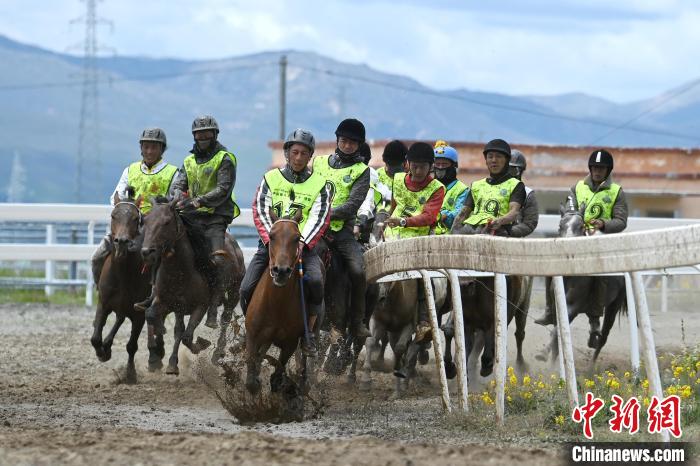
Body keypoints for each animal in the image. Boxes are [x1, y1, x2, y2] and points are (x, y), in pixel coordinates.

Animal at [90, 189, 153, 383]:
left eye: (135, 218)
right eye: (113, 215)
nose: (122, 242)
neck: (123, 274)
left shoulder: (139, 314)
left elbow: (132, 345)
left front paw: (130, 374)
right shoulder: (103, 303)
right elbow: (95, 337)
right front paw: (102, 353)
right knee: (117, 319)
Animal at [140, 198, 243, 375]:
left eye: (167, 222)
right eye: (145, 221)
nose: (147, 251)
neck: (180, 271)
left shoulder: (200, 306)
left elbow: (187, 337)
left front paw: (200, 345)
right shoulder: (168, 303)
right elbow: (152, 315)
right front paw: (169, 361)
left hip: (234, 292)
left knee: (225, 318)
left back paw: (217, 352)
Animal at [245, 209, 315, 398]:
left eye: (297, 238)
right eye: (271, 235)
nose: (281, 271)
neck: (276, 305)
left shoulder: (290, 343)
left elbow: (277, 376)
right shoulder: (253, 336)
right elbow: (251, 379)